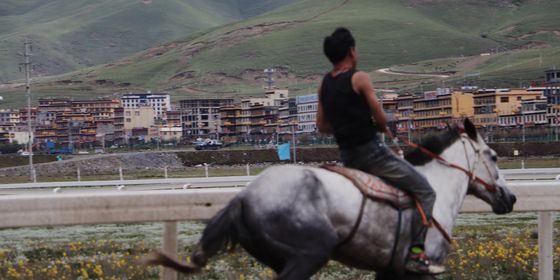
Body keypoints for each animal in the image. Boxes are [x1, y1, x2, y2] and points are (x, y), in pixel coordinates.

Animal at [145, 119, 516, 278]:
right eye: (494, 156)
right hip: (310, 254)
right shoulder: (421, 271)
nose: (510, 198)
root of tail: (243, 198)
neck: (436, 189)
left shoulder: (390, 271)